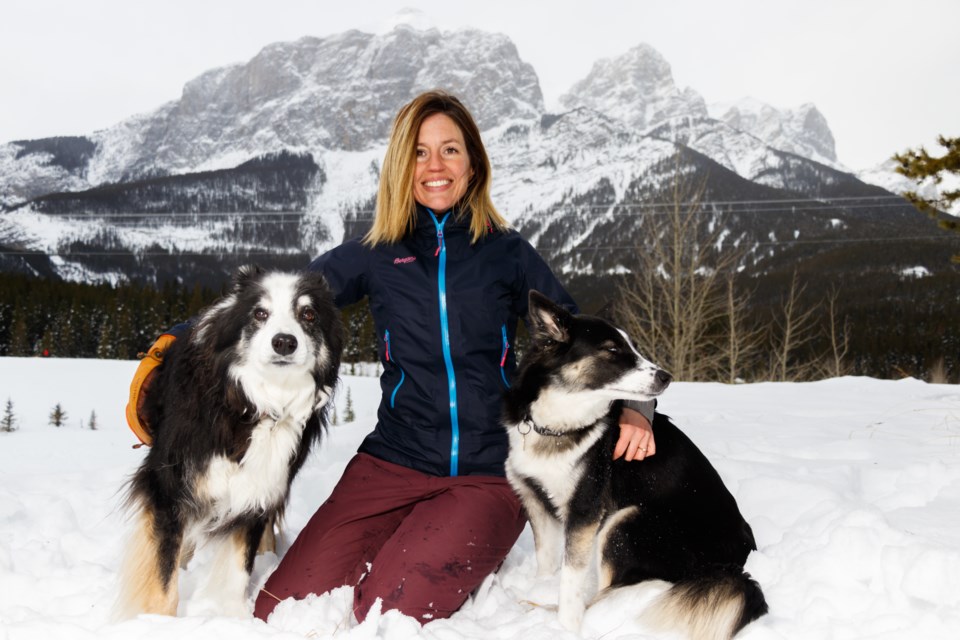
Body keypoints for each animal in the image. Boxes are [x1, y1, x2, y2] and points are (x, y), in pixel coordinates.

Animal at [115, 266, 344, 620]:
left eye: (308, 314)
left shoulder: (260, 487)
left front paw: (228, 616)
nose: (284, 342)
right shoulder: (169, 486)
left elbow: (239, 565)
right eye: (260, 313)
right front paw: (156, 621)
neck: (255, 405)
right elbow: (163, 573)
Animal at [502, 292, 764, 640]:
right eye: (613, 349)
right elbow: (547, 564)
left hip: (626, 523)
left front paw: (565, 628)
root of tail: (732, 563)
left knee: (606, 596)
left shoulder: (584, 510)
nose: (666, 377)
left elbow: (570, 582)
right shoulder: (536, 502)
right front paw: (543, 592)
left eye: (634, 347)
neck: (558, 425)